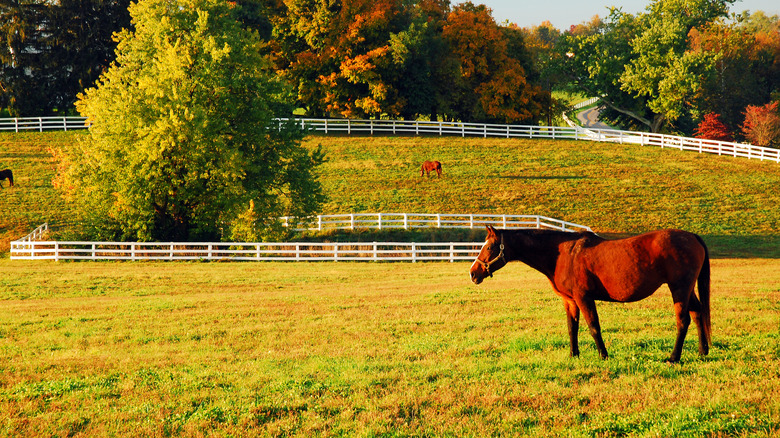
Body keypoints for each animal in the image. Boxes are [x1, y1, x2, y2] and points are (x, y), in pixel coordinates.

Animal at [469, 226, 711, 363]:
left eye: (489, 247)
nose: (473, 273)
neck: (562, 254)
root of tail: (692, 237)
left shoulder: (584, 297)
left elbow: (593, 326)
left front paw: (603, 356)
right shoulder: (570, 301)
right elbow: (572, 327)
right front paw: (573, 355)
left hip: (679, 288)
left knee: (683, 320)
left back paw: (674, 358)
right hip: (687, 290)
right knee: (698, 314)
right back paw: (702, 351)